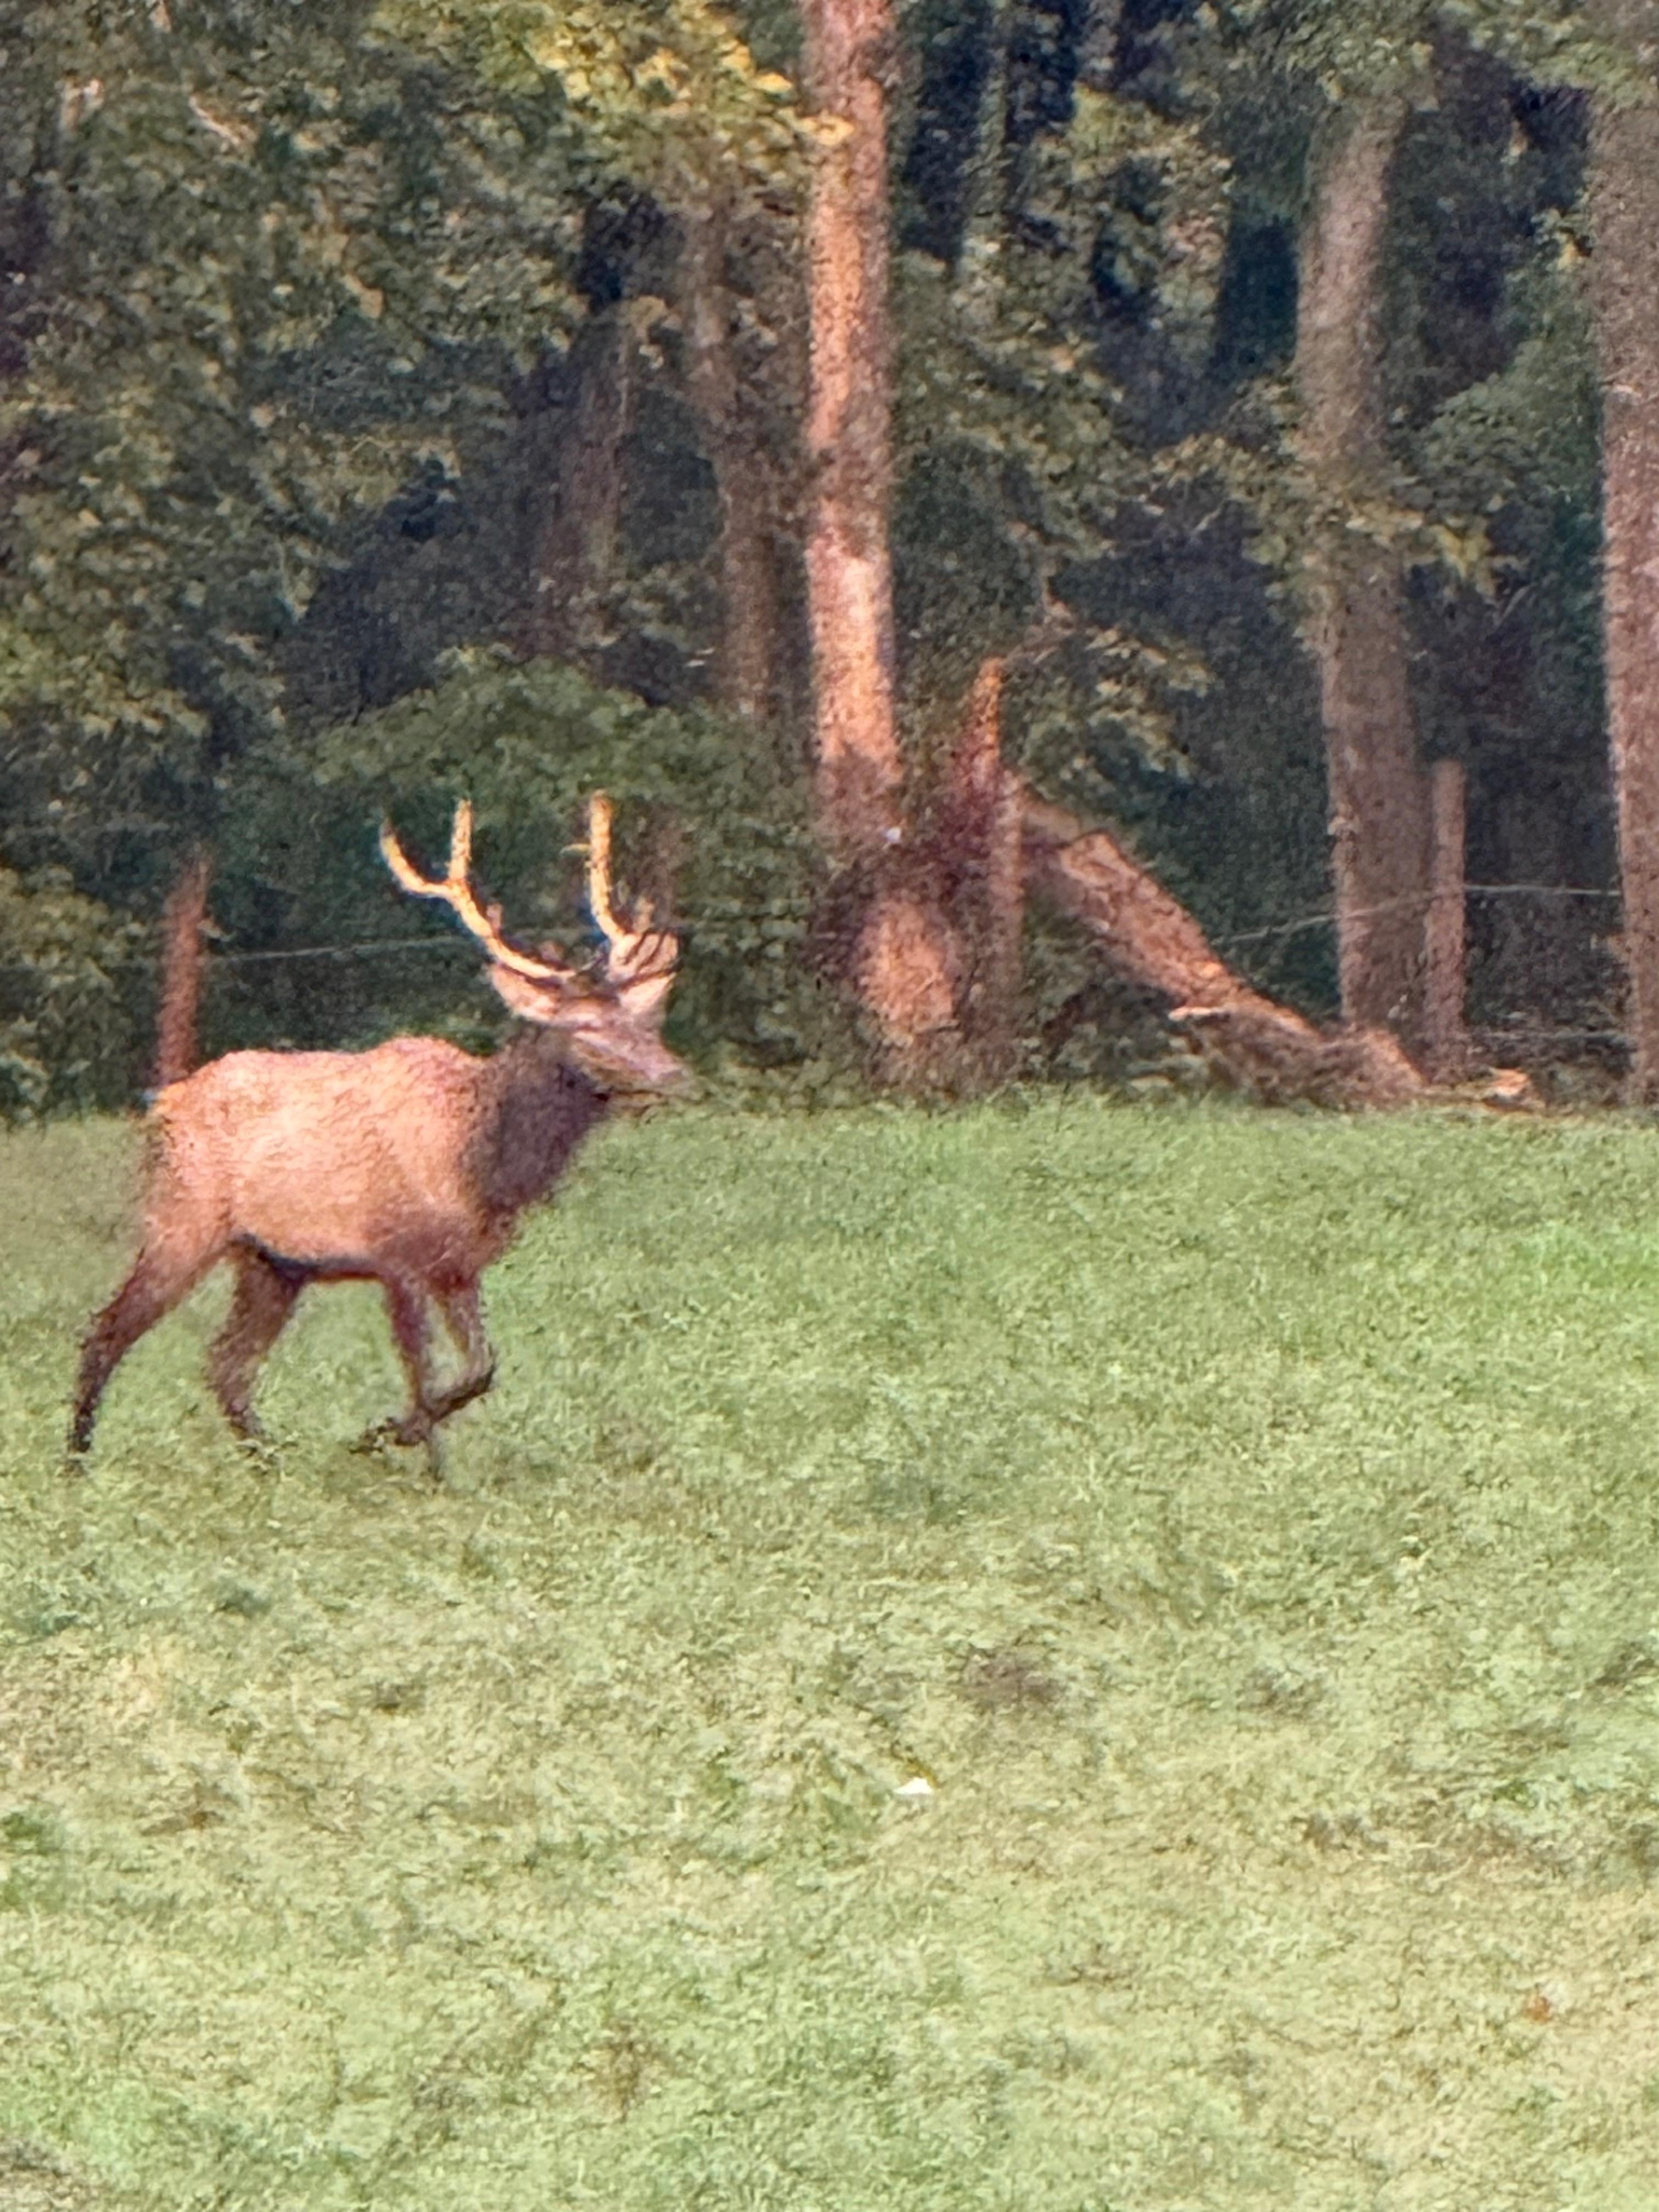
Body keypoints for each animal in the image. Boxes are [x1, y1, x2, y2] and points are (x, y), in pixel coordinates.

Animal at [69, 794, 689, 1464]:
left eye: (644, 1020)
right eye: (584, 1028)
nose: (674, 1074)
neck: (484, 1166)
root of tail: (164, 1101)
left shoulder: (460, 1266)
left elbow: (479, 1370)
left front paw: (388, 1436)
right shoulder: (396, 1253)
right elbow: (426, 1378)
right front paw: (406, 1450)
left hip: (274, 1263)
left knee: (226, 1367)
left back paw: (274, 1461)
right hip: (183, 1217)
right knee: (107, 1332)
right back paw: (77, 1466)